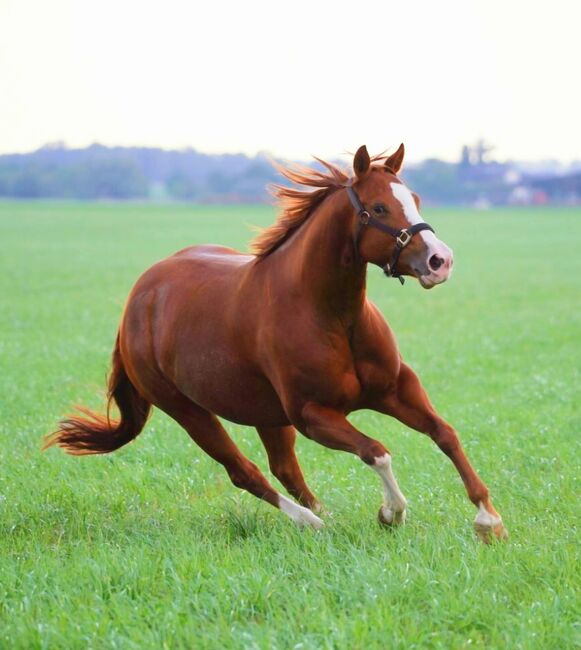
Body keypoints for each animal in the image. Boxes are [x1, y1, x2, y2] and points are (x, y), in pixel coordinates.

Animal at [44, 143, 508, 540]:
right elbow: (376, 451)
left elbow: (444, 433)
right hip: (188, 411)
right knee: (244, 472)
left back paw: (324, 516)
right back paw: (310, 522)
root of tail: (136, 302)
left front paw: (488, 519)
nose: (440, 260)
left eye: (414, 197)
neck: (332, 314)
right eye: (378, 207)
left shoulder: (396, 389)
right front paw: (391, 512)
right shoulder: (312, 415)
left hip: (265, 413)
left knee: (284, 468)